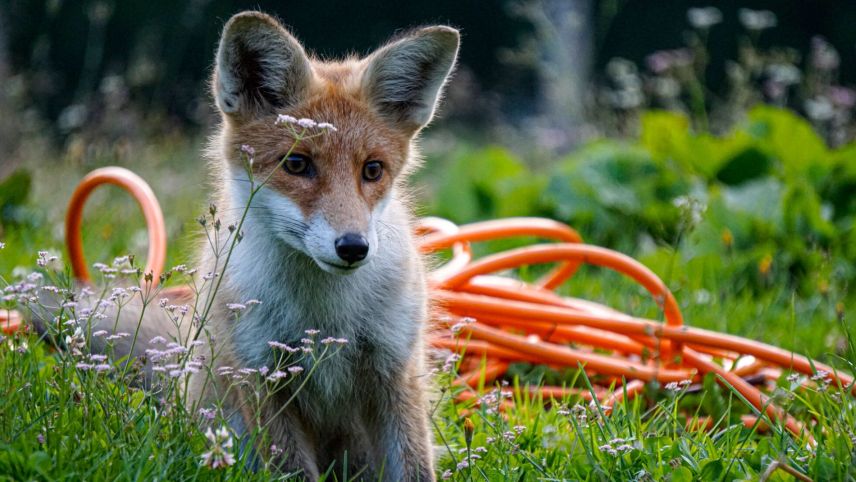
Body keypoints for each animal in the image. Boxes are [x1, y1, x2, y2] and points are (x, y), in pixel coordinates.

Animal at [38, 10, 459, 481]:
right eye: (297, 164)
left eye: (372, 170)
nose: (353, 248)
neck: (324, 314)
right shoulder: (259, 375)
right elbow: (291, 469)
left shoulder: (393, 372)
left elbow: (415, 466)